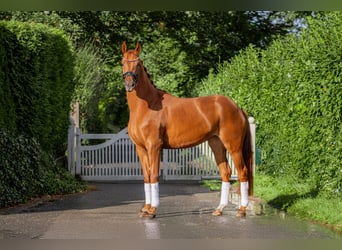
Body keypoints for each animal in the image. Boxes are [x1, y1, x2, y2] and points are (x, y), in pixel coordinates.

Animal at [121, 42, 252, 218]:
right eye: (123, 62)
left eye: (138, 64)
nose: (129, 84)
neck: (147, 106)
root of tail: (237, 108)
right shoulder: (140, 148)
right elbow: (147, 177)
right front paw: (146, 208)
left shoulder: (154, 147)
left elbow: (154, 175)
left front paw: (153, 210)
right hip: (216, 144)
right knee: (226, 172)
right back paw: (219, 209)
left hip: (234, 146)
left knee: (243, 172)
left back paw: (242, 210)